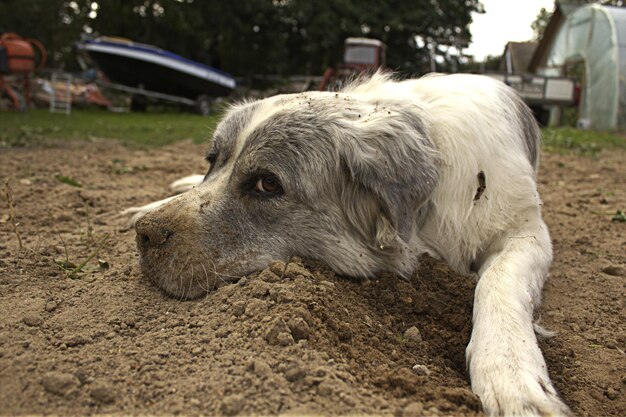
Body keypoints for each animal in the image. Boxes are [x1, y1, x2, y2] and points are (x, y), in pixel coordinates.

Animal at [125, 73, 572, 414]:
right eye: (212, 161)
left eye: (267, 184)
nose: (146, 234)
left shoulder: (526, 227)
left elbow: (499, 279)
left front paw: (510, 372)